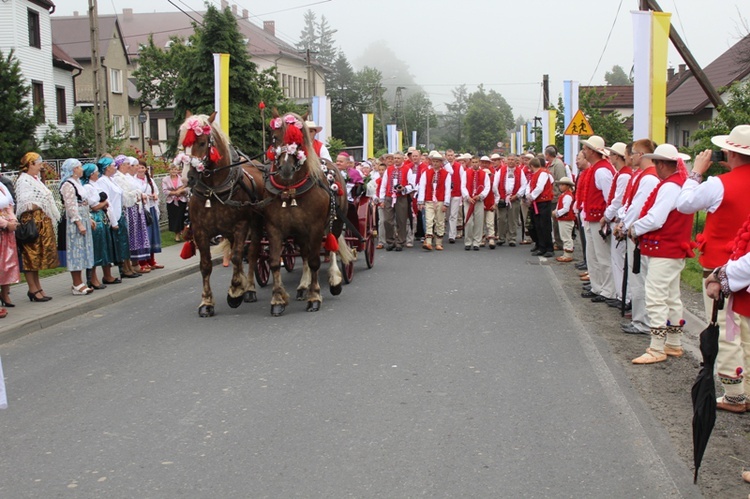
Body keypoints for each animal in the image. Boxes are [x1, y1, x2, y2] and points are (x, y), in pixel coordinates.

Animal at [177, 112, 268, 318]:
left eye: (202, 142)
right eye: (182, 143)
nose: (187, 178)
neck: (214, 192)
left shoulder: (241, 227)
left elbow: (236, 257)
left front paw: (234, 293)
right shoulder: (201, 232)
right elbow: (205, 265)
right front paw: (206, 302)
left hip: (255, 226)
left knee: (251, 253)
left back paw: (248, 289)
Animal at [262, 111, 354, 314]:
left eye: (299, 141)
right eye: (274, 137)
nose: (286, 168)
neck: (290, 190)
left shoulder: (315, 227)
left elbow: (314, 261)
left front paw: (315, 297)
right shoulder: (274, 228)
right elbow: (275, 262)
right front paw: (277, 300)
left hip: (335, 222)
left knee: (332, 246)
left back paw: (335, 280)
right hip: (299, 231)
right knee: (304, 253)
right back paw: (303, 285)